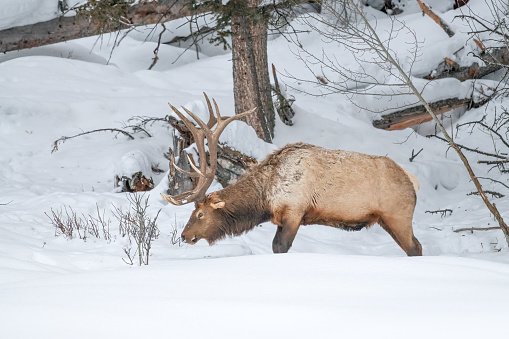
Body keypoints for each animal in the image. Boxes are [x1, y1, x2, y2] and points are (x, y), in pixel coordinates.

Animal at [162, 94, 420, 256]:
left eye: (200, 214)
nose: (184, 236)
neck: (264, 199)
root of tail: (412, 180)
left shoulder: (294, 211)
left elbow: (279, 247)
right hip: (388, 219)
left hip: (398, 215)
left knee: (414, 248)